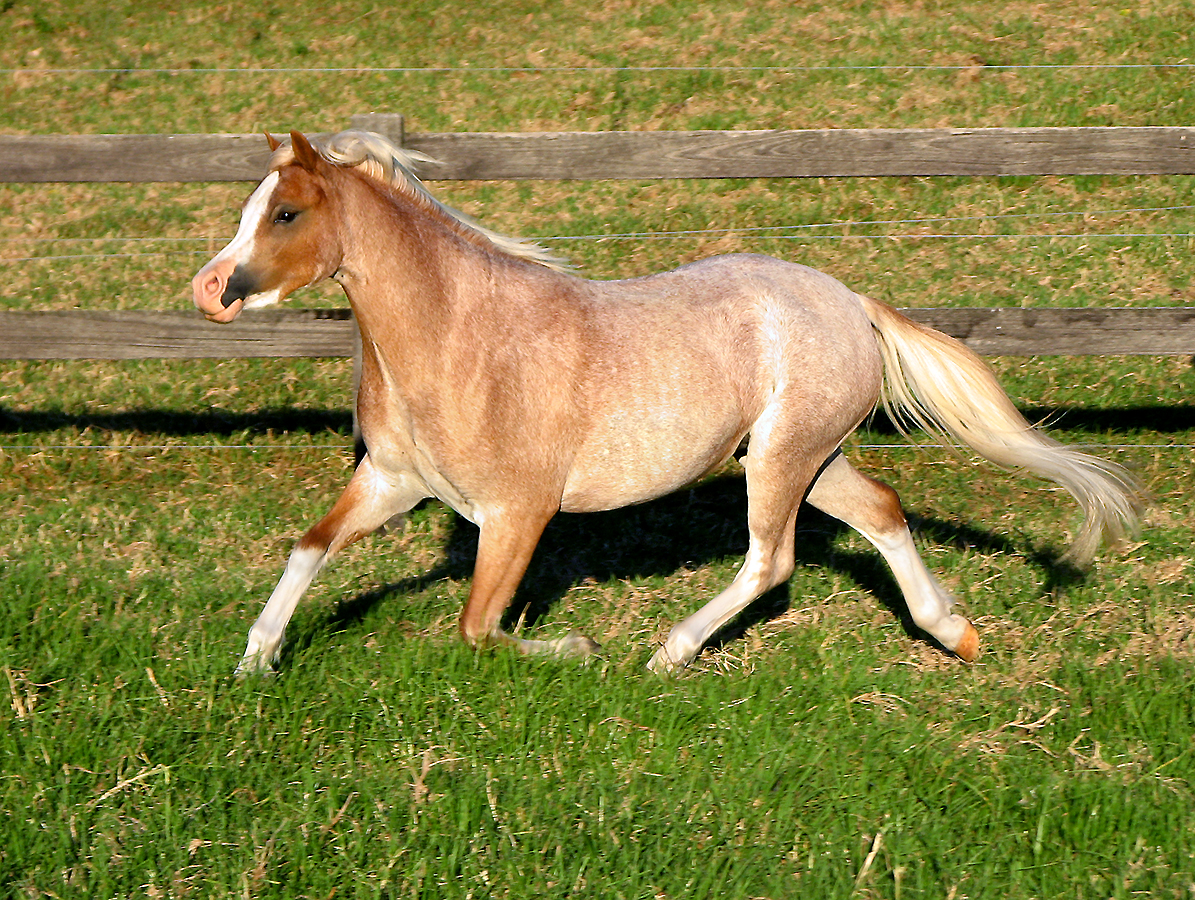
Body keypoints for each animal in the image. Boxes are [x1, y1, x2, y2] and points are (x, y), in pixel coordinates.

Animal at [192, 130, 1142, 675]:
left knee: (770, 561)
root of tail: (850, 303)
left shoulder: (518, 511)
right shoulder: (392, 482)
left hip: (784, 460)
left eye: (284, 213)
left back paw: (669, 653)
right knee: (879, 511)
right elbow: (309, 549)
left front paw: (577, 649)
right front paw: (255, 662)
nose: (212, 289)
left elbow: (476, 627)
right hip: (806, 456)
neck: (457, 335)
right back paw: (953, 633)